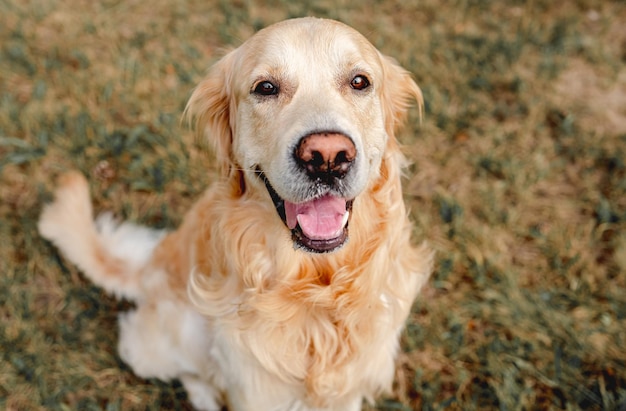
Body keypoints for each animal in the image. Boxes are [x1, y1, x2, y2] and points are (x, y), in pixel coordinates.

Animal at [37, 16, 428, 411]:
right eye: (266, 88)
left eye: (359, 82)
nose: (327, 157)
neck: (315, 287)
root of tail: (149, 266)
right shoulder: (254, 385)